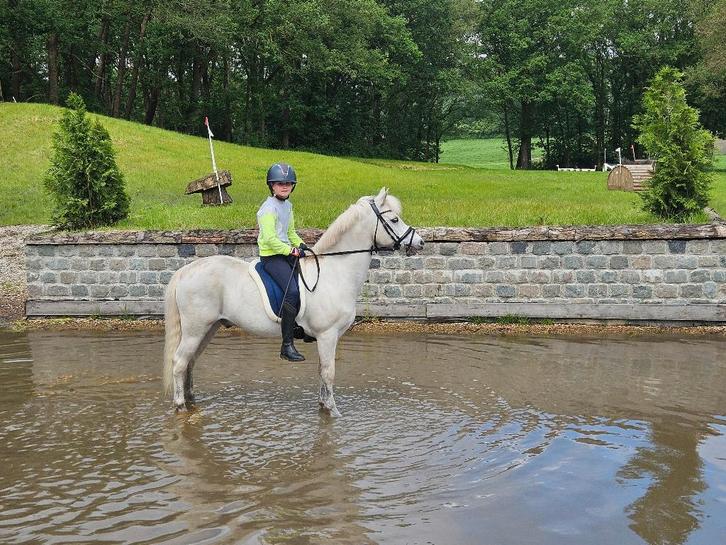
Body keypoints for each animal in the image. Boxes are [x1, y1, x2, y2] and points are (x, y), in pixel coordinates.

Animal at [163, 188, 425, 416]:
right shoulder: (327, 335)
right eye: (394, 219)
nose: (420, 242)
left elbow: (321, 372)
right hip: (196, 329)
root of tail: (185, 271)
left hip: (209, 328)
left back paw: (191, 400)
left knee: (190, 362)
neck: (335, 272)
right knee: (179, 362)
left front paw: (323, 405)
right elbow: (329, 373)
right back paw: (181, 406)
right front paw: (334, 411)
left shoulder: (326, 338)